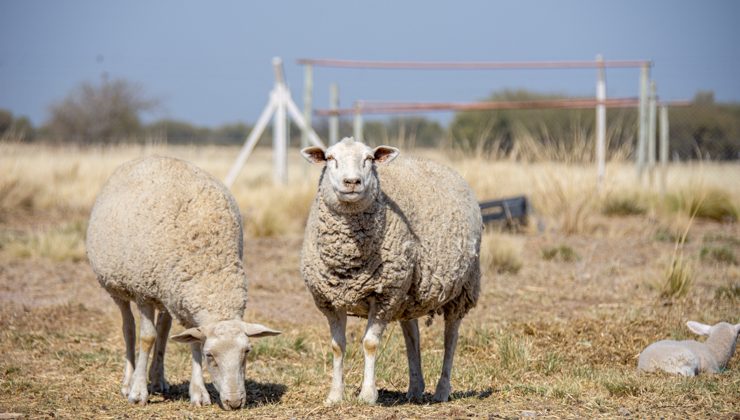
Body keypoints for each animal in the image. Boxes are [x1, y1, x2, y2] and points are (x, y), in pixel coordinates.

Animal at [86, 156, 280, 408]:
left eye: (247, 351)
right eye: (210, 356)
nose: (235, 403)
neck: (209, 265)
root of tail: (148, 157)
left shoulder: (186, 299)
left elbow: (191, 341)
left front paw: (198, 392)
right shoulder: (143, 293)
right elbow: (147, 338)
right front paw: (138, 392)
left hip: (169, 293)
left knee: (164, 330)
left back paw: (158, 379)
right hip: (120, 287)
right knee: (128, 328)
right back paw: (128, 381)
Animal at [300, 138, 486, 404]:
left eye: (369, 159)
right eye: (330, 158)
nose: (352, 182)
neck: (349, 254)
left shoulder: (385, 295)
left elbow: (370, 343)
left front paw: (368, 395)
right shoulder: (329, 299)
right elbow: (337, 346)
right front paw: (335, 395)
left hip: (463, 287)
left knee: (451, 336)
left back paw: (442, 390)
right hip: (409, 293)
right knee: (412, 334)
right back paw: (415, 387)